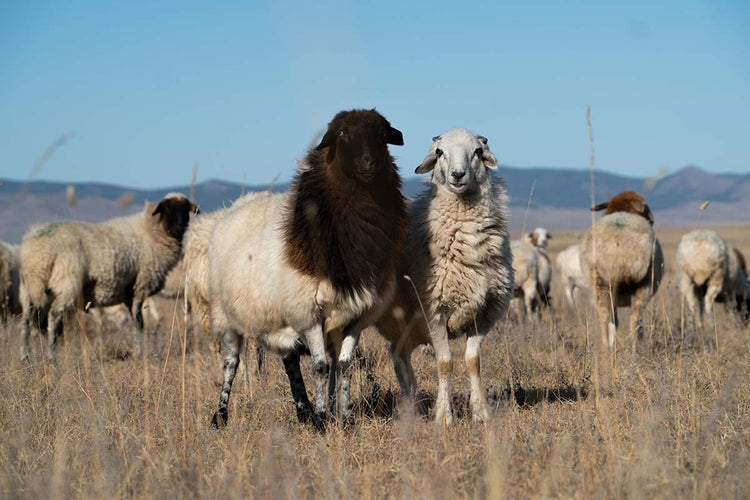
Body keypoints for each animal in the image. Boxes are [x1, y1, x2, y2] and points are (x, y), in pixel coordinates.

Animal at [19, 193, 199, 362]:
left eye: (185, 208)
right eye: (168, 208)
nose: (180, 225)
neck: (150, 231)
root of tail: (38, 251)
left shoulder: (129, 293)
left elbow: (135, 320)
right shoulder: (140, 286)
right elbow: (139, 322)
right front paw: (139, 353)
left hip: (28, 289)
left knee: (26, 320)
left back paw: (25, 356)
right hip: (66, 284)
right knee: (54, 317)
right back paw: (52, 356)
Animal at [208, 109, 408, 428]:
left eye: (381, 133)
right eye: (342, 133)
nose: (368, 163)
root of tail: (237, 204)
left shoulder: (355, 315)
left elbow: (344, 366)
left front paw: (345, 418)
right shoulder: (307, 311)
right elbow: (321, 367)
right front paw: (324, 418)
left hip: (280, 317)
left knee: (289, 360)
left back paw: (303, 410)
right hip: (225, 317)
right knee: (231, 362)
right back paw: (221, 415)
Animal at [374, 128, 513, 425]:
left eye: (477, 152)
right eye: (439, 152)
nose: (458, 175)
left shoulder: (485, 312)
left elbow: (474, 361)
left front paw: (480, 413)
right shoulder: (434, 311)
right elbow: (445, 363)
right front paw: (445, 417)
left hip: (405, 323)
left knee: (398, 354)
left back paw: (413, 404)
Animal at [579, 191, 664, 347]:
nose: (652, 219)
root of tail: (618, 245)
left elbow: (614, 322)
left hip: (600, 283)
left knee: (606, 318)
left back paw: (608, 348)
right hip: (643, 283)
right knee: (634, 319)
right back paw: (635, 348)